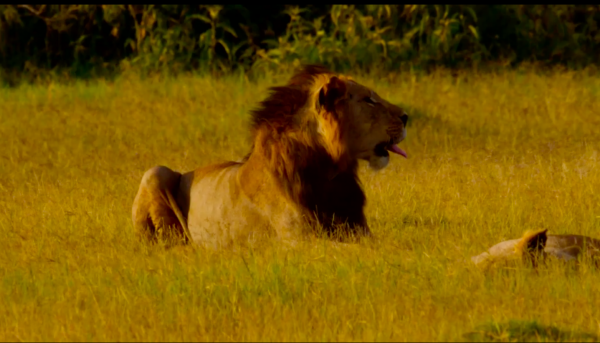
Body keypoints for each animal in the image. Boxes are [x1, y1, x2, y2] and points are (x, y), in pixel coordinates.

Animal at [132, 64, 410, 249]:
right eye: (369, 100)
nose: (407, 116)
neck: (330, 171)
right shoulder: (299, 240)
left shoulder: (358, 228)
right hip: (156, 172)